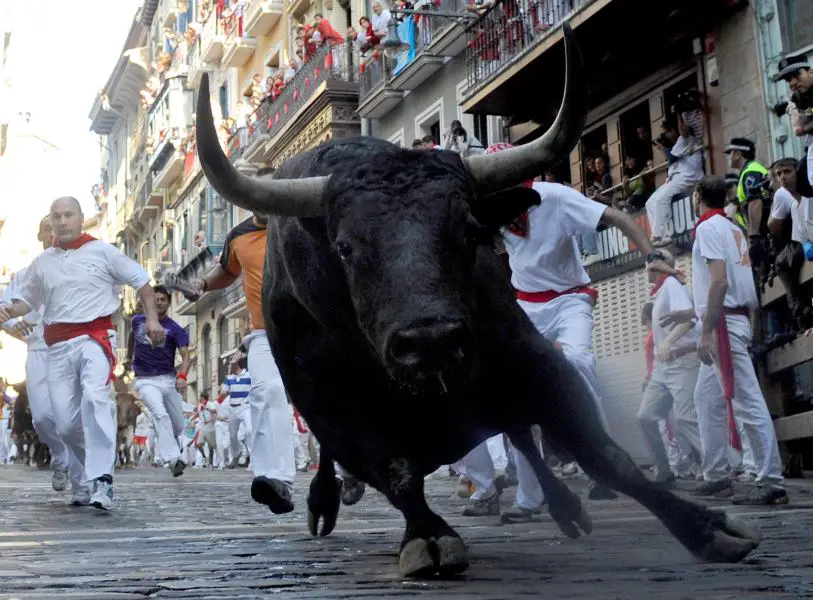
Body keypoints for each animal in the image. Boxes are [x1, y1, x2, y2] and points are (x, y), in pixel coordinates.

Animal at [195, 25, 760, 580]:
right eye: (344, 247)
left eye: (468, 229)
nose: (431, 341)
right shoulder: (332, 407)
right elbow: (395, 470)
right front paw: (429, 536)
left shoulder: (533, 360)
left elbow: (603, 453)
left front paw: (707, 527)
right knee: (343, 462)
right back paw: (325, 500)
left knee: (523, 437)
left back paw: (563, 507)